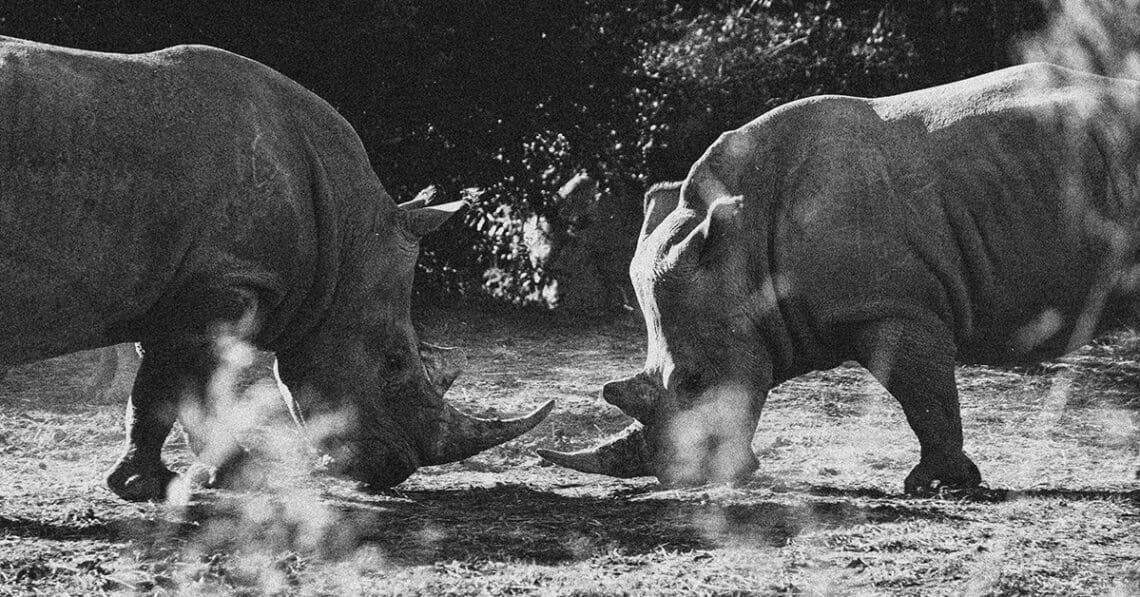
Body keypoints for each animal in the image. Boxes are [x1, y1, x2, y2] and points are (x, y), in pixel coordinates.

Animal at [0, 36, 551, 501]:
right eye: (395, 362)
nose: (396, 470)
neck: (344, 234)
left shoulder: (190, 289)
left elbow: (181, 386)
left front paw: (224, 477)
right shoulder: (225, 282)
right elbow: (178, 385)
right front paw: (156, 486)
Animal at [541, 63, 1140, 494]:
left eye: (694, 381)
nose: (681, 480)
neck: (744, 257)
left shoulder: (891, 306)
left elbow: (924, 397)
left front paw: (934, 486)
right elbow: (925, 396)